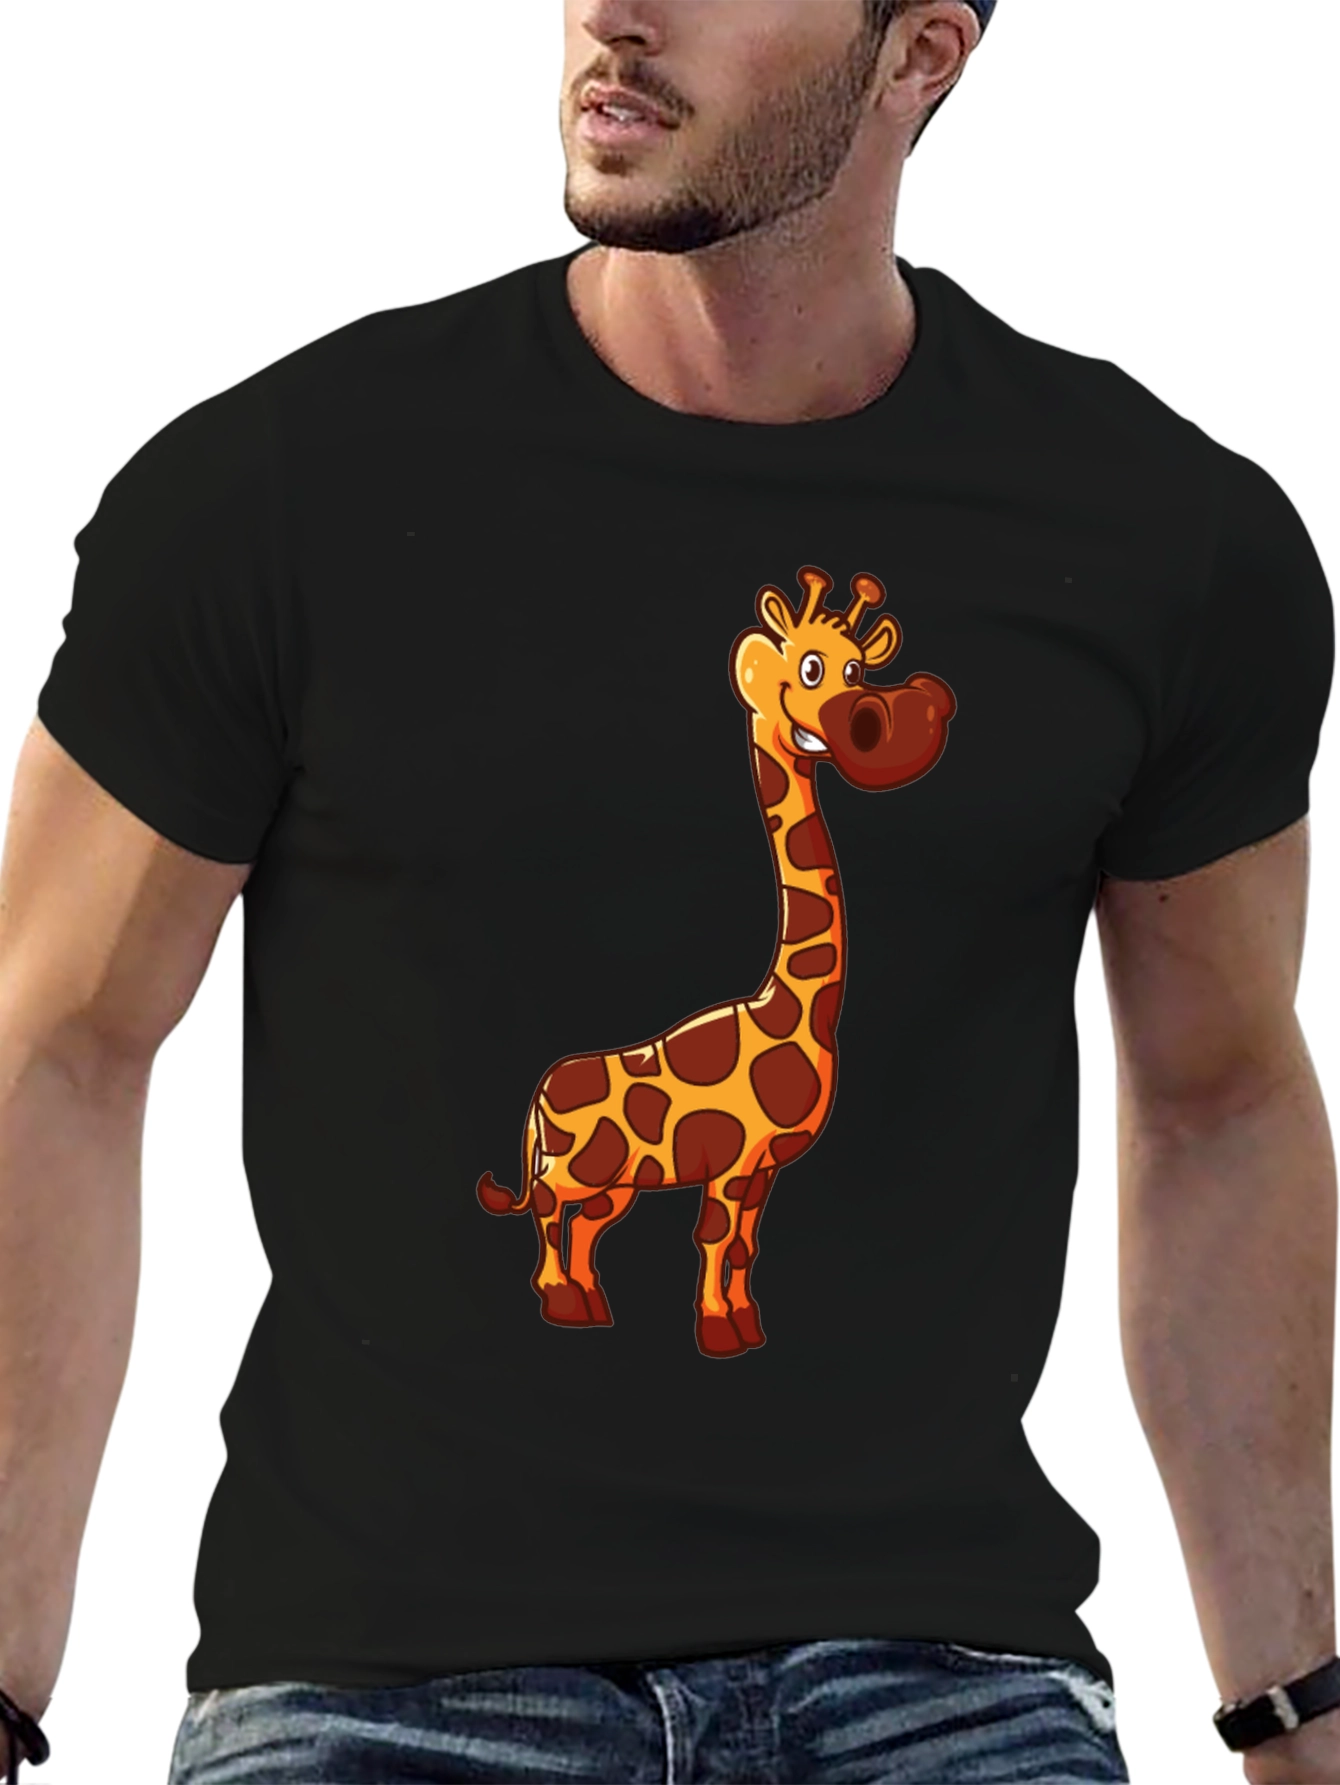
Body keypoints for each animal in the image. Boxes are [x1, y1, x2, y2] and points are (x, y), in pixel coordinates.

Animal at [479, 567, 955, 1357]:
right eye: (812, 669)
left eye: (857, 671)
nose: (890, 719)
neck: (792, 1008)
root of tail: (540, 1095)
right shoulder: (735, 1163)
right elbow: (714, 1237)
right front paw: (717, 1330)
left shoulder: (764, 1169)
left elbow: (743, 1245)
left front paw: (744, 1322)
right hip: (574, 1165)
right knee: (549, 1210)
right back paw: (560, 1300)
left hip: (618, 1180)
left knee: (585, 1228)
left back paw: (590, 1303)